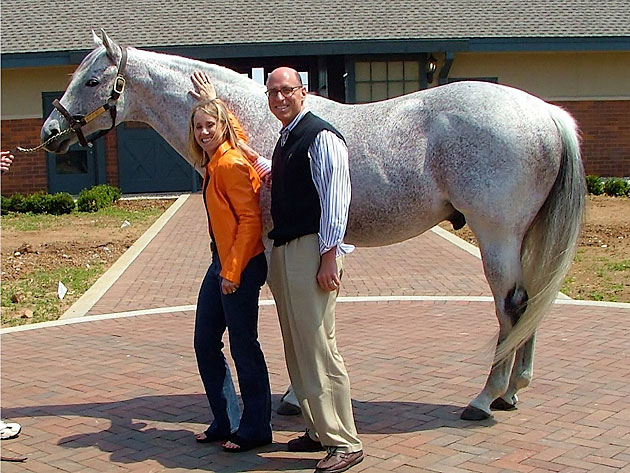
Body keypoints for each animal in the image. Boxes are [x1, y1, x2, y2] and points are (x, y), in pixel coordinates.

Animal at [43, 31, 588, 418]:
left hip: (497, 236)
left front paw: (290, 396)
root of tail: (545, 113)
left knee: (511, 306)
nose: (51, 131)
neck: (263, 122)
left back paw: (484, 399)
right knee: (531, 300)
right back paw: (511, 392)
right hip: (521, 237)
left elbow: (288, 315)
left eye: (92, 81)